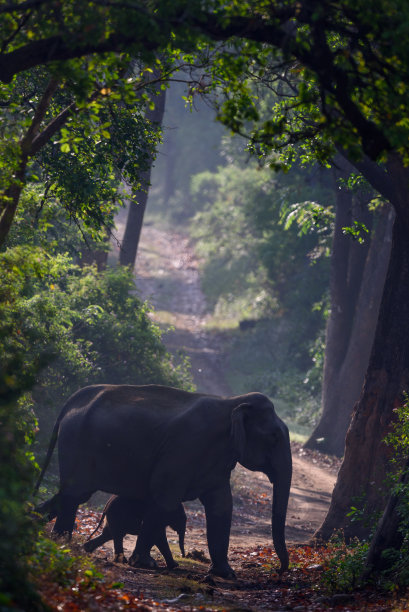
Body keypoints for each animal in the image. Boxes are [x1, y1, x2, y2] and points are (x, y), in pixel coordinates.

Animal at [35, 384, 290, 576]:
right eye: (274, 437)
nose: (278, 571)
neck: (232, 403)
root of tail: (71, 401)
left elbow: (222, 506)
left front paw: (226, 574)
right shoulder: (184, 447)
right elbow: (164, 497)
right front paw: (143, 563)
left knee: (71, 494)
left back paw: (41, 529)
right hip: (77, 442)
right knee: (74, 494)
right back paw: (62, 544)